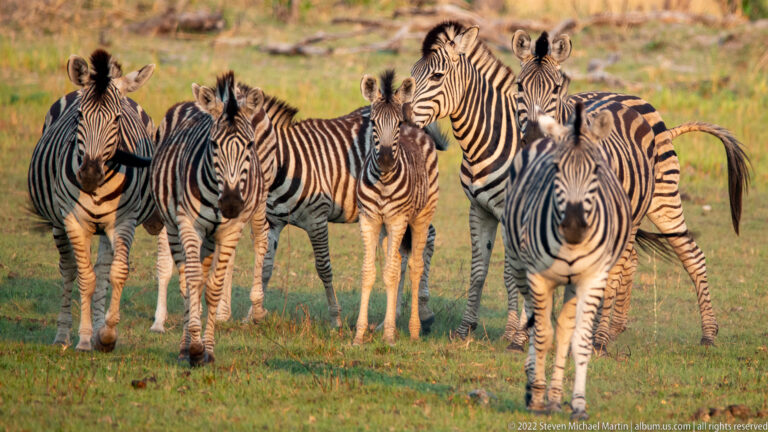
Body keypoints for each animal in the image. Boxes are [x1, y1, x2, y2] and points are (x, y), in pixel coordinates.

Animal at [27, 49, 155, 352]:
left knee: (102, 270)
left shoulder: (124, 221)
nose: (89, 175)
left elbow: (116, 273)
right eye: (80, 116)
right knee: (69, 269)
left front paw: (106, 335)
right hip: (59, 223)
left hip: (106, 227)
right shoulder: (73, 221)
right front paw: (85, 339)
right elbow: (86, 278)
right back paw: (63, 336)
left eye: (117, 119)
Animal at [149, 71, 269, 366]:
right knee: (185, 279)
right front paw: (193, 347)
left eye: (249, 144)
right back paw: (185, 344)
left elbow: (213, 287)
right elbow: (192, 283)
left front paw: (209, 349)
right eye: (213, 144)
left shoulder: (231, 229)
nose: (231, 203)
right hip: (174, 227)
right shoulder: (189, 225)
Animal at [354, 70, 439, 346]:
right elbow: (369, 272)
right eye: (373, 123)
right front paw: (360, 334)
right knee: (399, 262)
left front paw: (390, 335)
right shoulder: (369, 219)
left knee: (415, 267)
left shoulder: (397, 220)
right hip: (386, 229)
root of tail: (417, 128)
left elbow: (391, 273)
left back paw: (413, 330)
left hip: (420, 218)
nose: (385, 160)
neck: (383, 181)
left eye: (397, 124)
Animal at [503, 105, 632, 420]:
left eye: (597, 169)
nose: (574, 226)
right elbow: (542, 335)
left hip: (573, 284)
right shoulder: (538, 277)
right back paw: (534, 386)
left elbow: (578, 341)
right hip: (521, 268)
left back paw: (554, 396)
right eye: (555, 169)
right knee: (534, 320)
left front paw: (577, 404)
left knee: (563, 330)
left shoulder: (593, 279)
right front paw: (537, 397)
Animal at [511, 30, 751, 348]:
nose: (536, 136)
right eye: (519, 86)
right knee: (629, 260)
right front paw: (524, 335)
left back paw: (706, 333)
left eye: (556, 89)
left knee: (688, 255)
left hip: (660, 201)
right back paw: (612, 328)